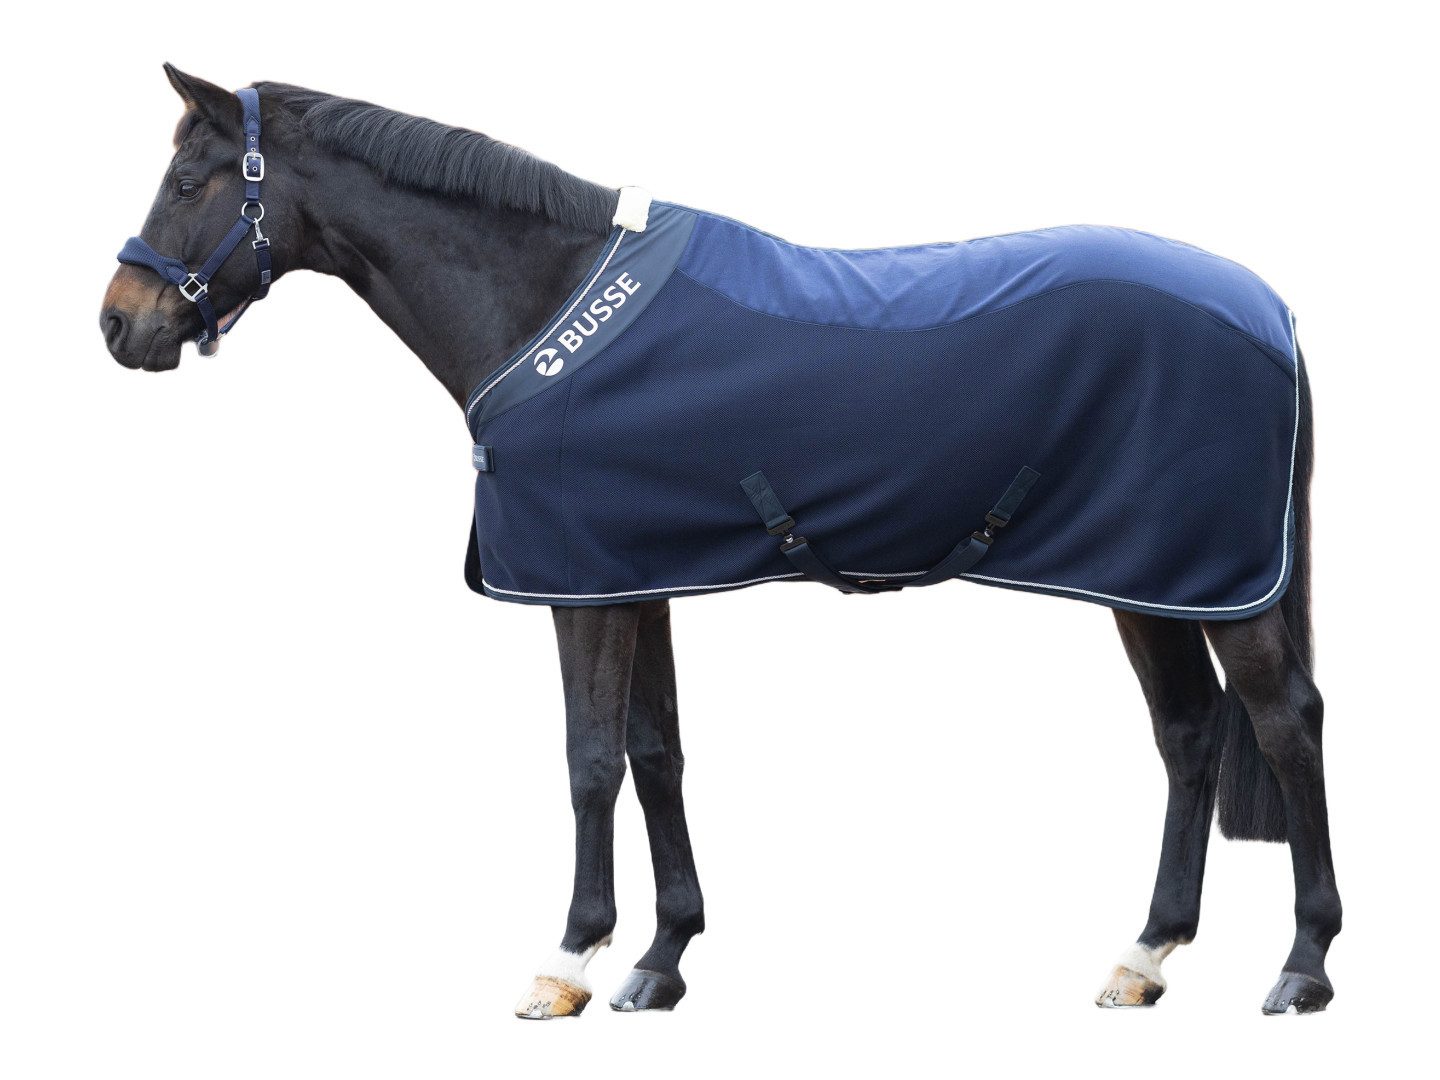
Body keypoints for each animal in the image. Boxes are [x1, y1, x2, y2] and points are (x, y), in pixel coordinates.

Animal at [99, 65, 1340, 1018]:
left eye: (189, 180)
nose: (120, 324)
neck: (547, 302)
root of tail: (1271, 312)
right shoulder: (635, 575)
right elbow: (657, 755)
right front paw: (660, 960)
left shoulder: (583, 591)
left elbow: (589, 761)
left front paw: (568, 961)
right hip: (1156, 583)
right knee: (1188, 734)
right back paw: (1145, 956)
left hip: (1214, 586)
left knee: (1284, 724)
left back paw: (1303, 967)